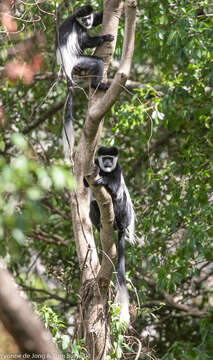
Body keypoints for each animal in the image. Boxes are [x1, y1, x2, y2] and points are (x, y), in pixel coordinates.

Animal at [55, 5, 114, 159]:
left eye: (88, 17)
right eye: (83, 19)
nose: (87, 22)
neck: (76, 20)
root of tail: (66, 69)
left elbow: (97, 19)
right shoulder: (78, 28)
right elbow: (83, 41)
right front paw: (105, 37)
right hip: (79, 62)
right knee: (97, 62)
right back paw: (98, 85)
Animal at [83, 146, 135, 324]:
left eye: (110, 159)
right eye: (104, 157)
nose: (106, 163)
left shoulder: (118, 169)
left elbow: (115, 188)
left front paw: (104, 181)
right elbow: (85, 182)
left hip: (123, 213)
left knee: (119, 197)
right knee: (92, 204)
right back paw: (100, 225)